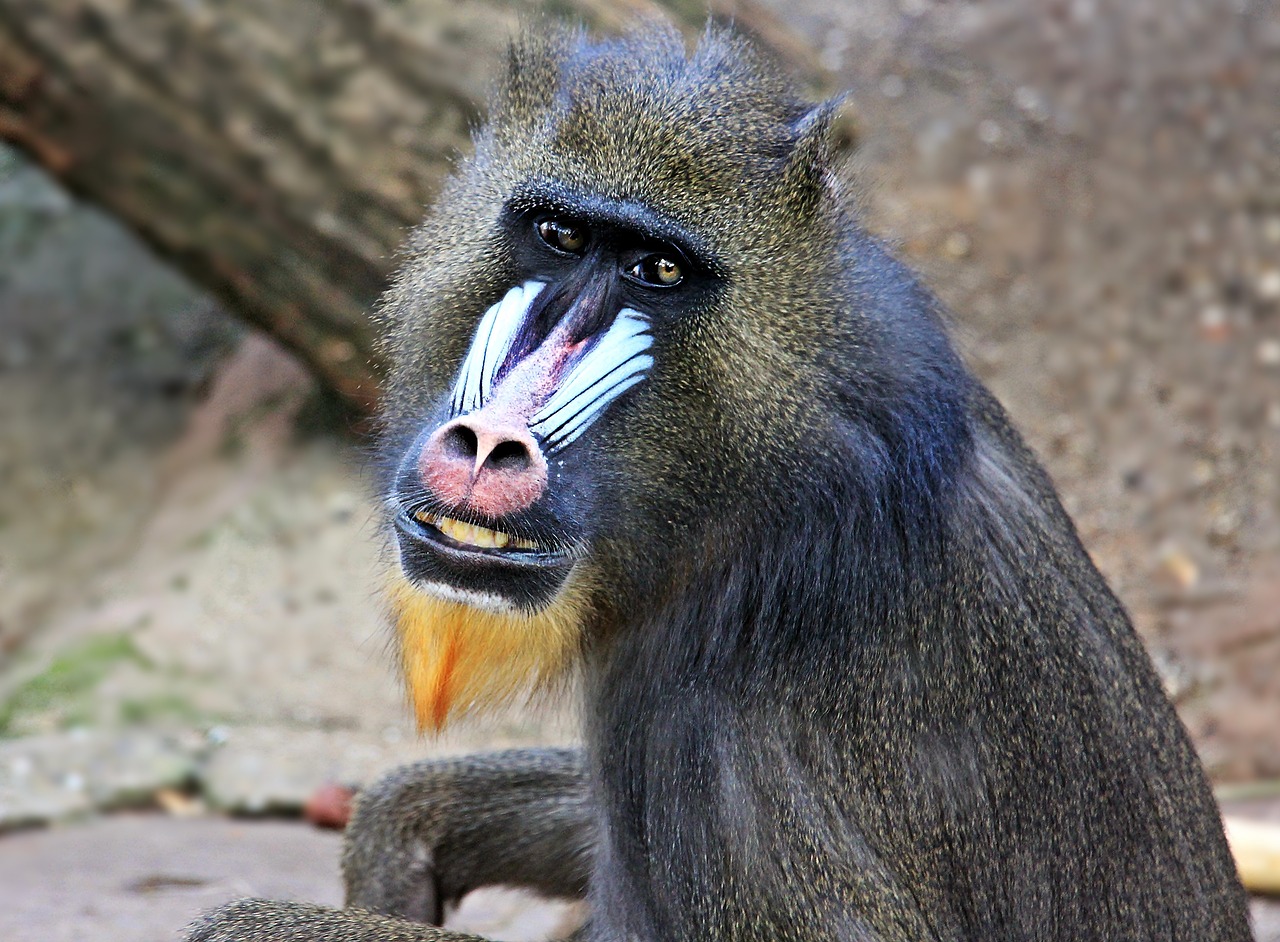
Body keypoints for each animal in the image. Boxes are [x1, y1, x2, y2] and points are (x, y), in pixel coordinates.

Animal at [186, 20, 1249, 941]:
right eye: (559, 236)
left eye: (658, 270)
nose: (489, 445)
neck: (753, 478)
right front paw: (403, 829)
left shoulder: (727, 715)